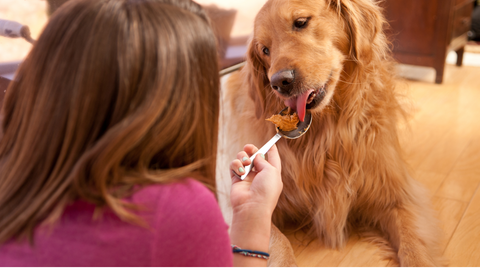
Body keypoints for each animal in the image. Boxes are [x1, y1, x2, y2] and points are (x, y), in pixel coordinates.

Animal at [217, 0, 442, 266]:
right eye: (264, 50)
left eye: (301, 22)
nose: (279, 82)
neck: (327, 132)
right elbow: (278, 244)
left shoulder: (398, 196)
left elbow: (414, 247)